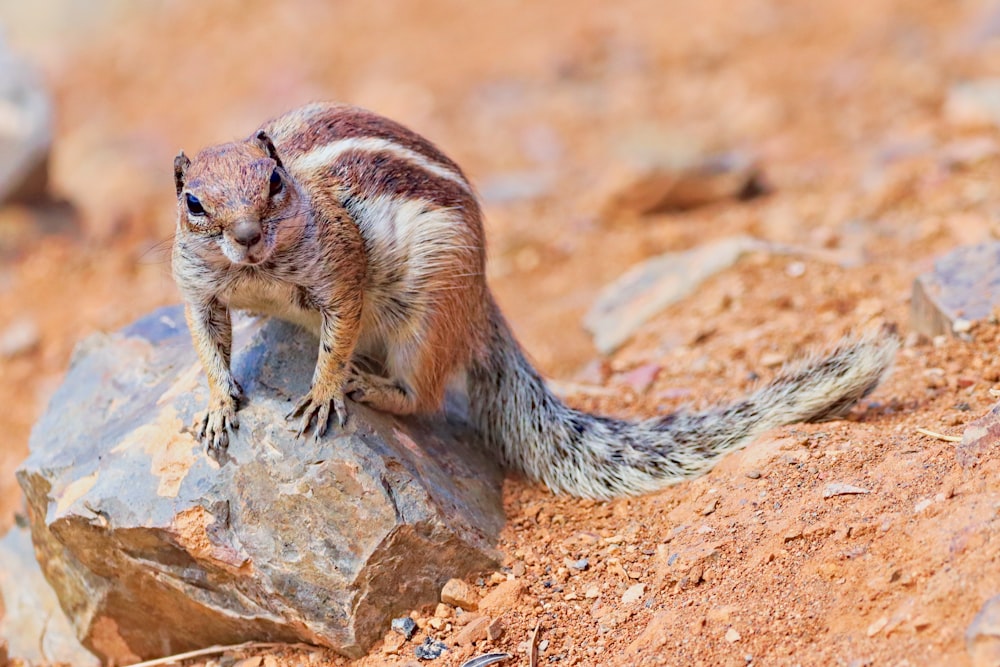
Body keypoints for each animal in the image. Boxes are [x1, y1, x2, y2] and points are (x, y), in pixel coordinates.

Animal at [172, 102, 900, 500]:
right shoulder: (198, 288)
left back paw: (367, 383)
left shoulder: (344, 271)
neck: (259, 270)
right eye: (193, 203)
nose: (245, 236)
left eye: (274, 183)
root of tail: (482, 297)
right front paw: (216, 405)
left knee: (423, 393)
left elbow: (337, 330)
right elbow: (206, 340)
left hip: (426, 312)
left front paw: (323, 389)